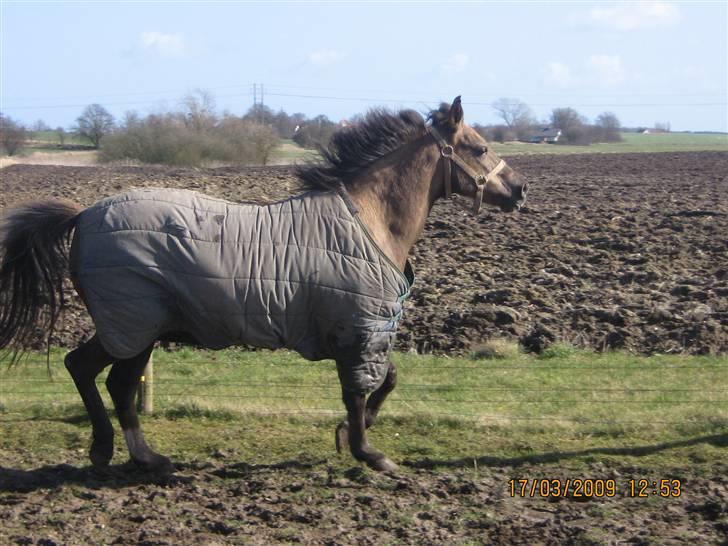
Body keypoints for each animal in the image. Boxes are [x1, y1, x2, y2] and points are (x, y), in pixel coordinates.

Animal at [1, 98, 528, 472]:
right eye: (480, 148)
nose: (521, 190)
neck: (370, 222)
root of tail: (83, 215)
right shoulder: (358, 328)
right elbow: (359, 392)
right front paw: (369, 452)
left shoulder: (363, 331)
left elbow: (387, 380)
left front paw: (347, 436)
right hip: (131, 322)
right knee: (86, 369)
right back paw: (106, 448)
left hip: (140, 328)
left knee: (116, 383)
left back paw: (142, 456)